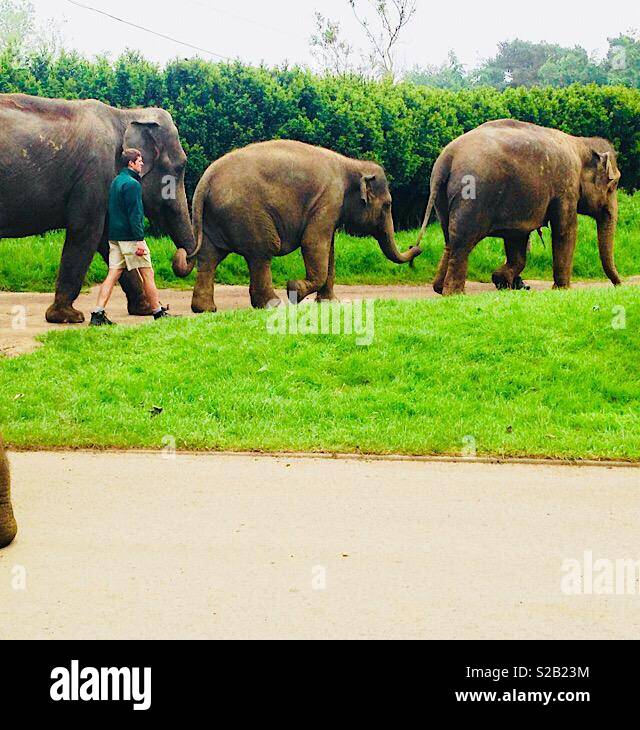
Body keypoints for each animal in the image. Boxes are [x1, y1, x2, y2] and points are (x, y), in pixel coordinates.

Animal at [0, 92, 196, 320]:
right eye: (179, 167)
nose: (180, 255)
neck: (125, 114)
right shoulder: (93, 174)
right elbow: (86, 231)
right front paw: (68, 316)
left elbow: (108, 237)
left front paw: (146, 309)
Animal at [172, 138, 422, 308]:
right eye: (388, 205)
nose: (416, 248)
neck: (351, 165)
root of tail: (206, 179)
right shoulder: (328, 198)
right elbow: (314, 243)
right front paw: (294, 290)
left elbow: (329, 250)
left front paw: (329, 303)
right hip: (246, 213)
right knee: (262, 252)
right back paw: (273, 304)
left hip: (215, 217)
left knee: (209, 256)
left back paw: (205, 309)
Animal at [412, 119, 624, 292]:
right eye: (613, 186)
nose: (619, 285)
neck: (581, 144)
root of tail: (446, 160)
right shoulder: (566, 187)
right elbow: (566, 230)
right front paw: (562, 289)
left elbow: (517, 238)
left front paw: (501, 280)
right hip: (472, 196)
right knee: (462, 241)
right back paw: (454, 293)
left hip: (441, 198)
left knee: (449, 239)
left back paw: (439, 288)